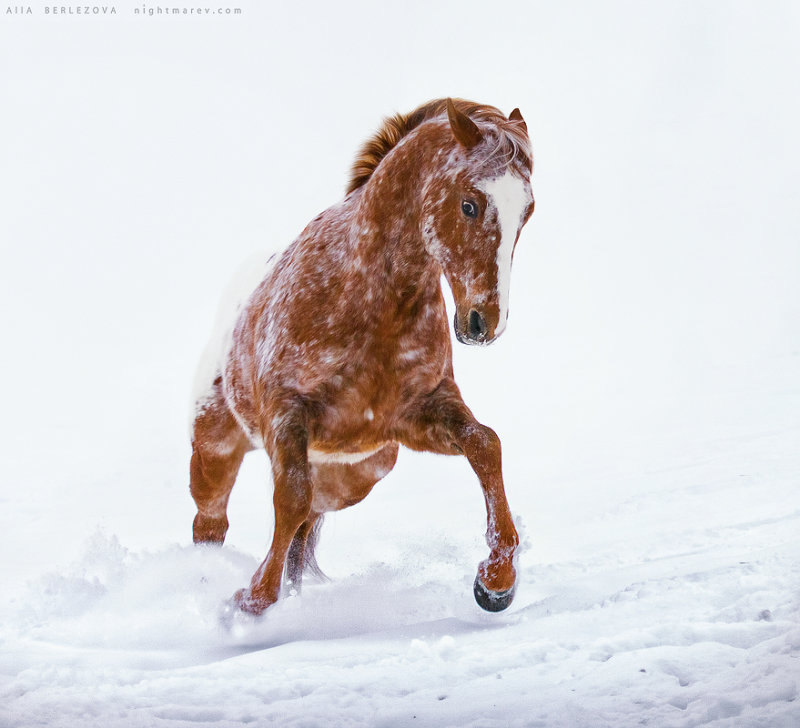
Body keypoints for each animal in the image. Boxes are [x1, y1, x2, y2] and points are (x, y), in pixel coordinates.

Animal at [190, 98, 536, 616]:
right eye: (469, 204)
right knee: (211, 523)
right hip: (214, 450)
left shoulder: (416, 414)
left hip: (356, 476)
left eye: (527, 212)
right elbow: (289, 496)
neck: (368, 300)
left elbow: (485, 444)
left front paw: (496, 582)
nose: (483, 323)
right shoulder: (286, 413)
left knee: (305, 525)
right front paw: (250, 600)